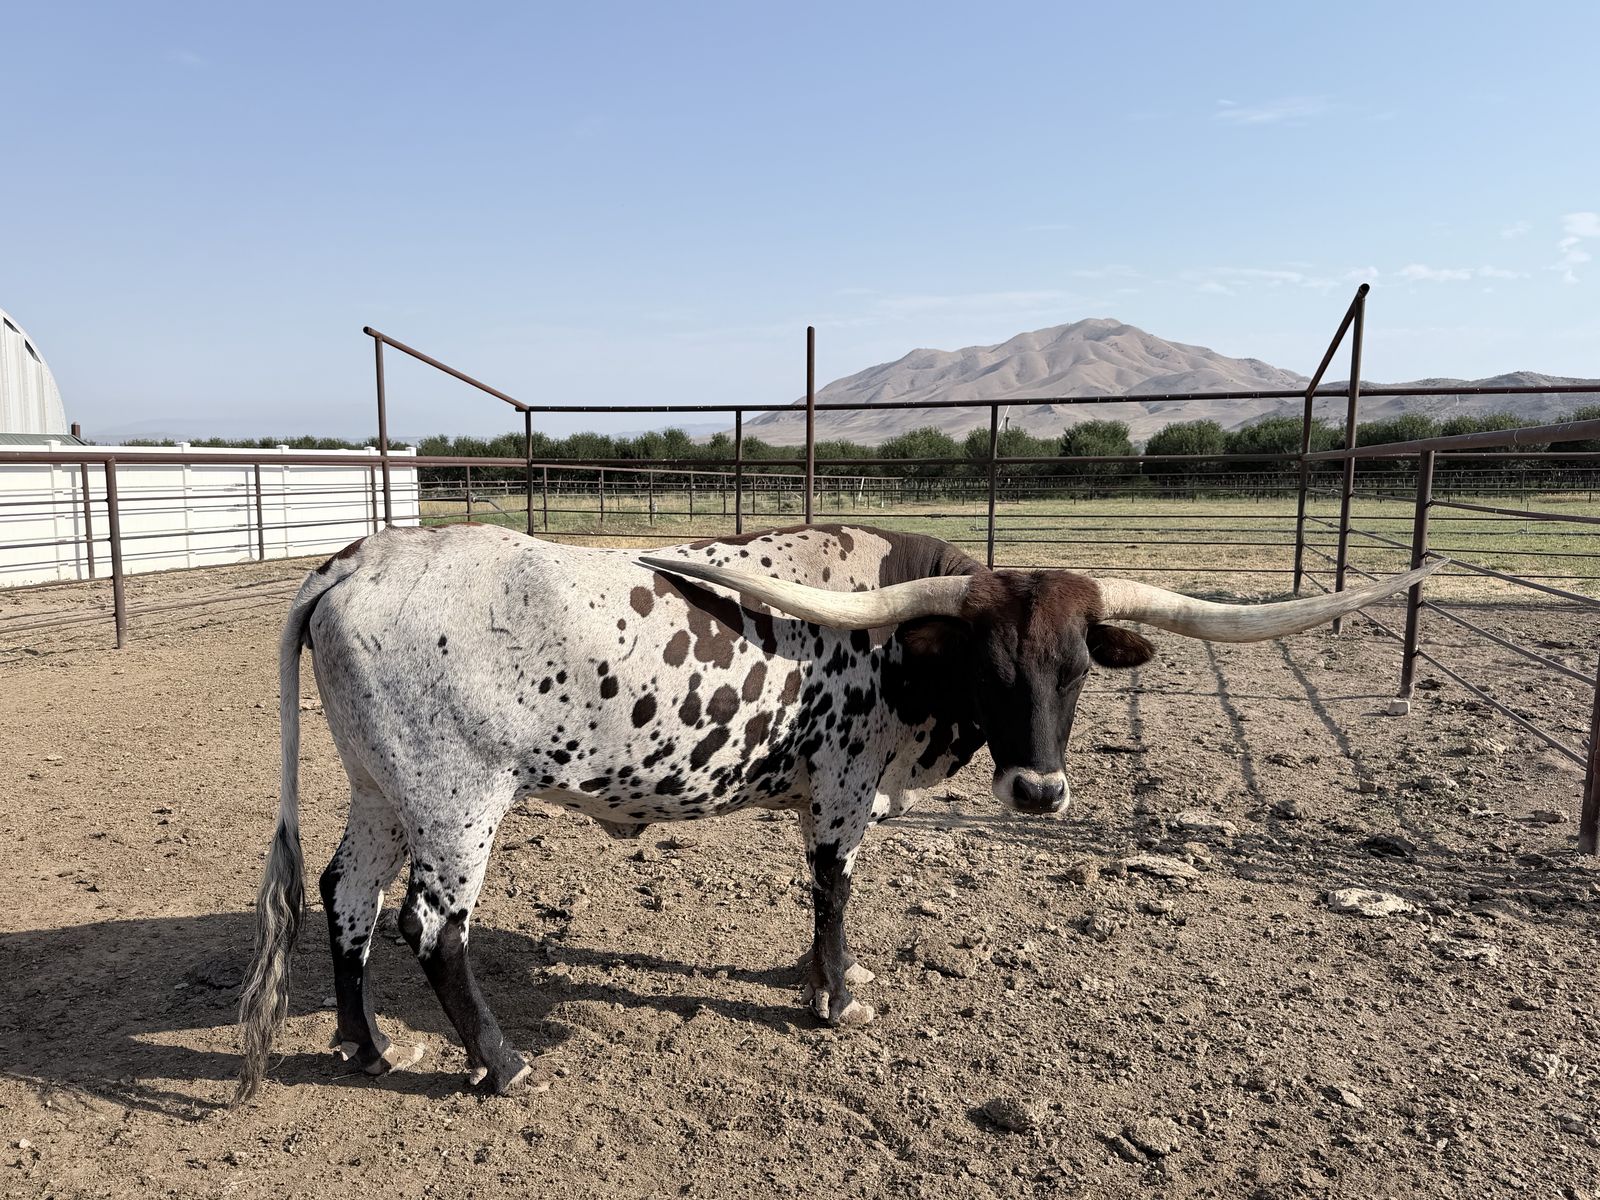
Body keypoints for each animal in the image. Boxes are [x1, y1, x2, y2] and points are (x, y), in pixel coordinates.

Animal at [233, 522, 1439, 1102]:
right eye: (990, 667)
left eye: (1075, 671)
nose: (1038, 791)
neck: (898, 644)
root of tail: (354, 561)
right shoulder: (846, 790)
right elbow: (834, 891)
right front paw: (836, 995)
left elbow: (816, 902)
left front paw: (815, 977)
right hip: (458, 796)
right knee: (430, 927)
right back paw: (502, 1063)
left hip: (381, 787)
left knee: (345, 899)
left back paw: (366, 1047)